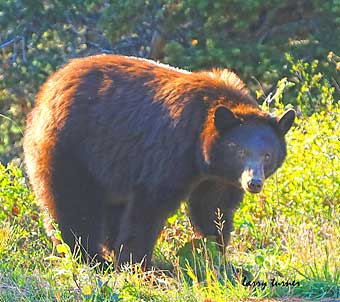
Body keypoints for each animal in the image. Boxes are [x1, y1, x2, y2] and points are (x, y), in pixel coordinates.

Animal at [23, 54, 294, 266]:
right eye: (240, 151)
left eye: (267, 155)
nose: (254, 182)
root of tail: (47, 89)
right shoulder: (171, 150)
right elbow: (149, 206)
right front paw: (137, 263)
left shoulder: (219, 178)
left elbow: (213, 209)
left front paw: (216, 256)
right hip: (69, 148)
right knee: (72, 205)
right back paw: (91, 259)